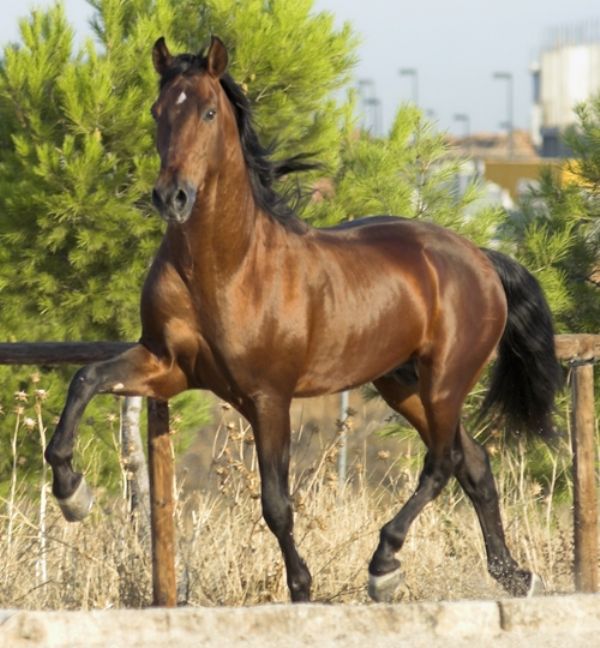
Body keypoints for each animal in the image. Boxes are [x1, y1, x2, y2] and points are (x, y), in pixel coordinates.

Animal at [43, 35, 564, 604]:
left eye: (207, 111)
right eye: (158, 111)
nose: (171, 197)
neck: (225, 269)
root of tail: (481, 257)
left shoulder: (269, 398)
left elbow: (276, 504)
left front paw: (301, 588)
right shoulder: (167, 366)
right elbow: (85, 378)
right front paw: (72, 493)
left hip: (445, 380)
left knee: (443, 462)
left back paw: (385, 564)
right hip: (401, 382)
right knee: (474, 463)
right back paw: (515, 576)